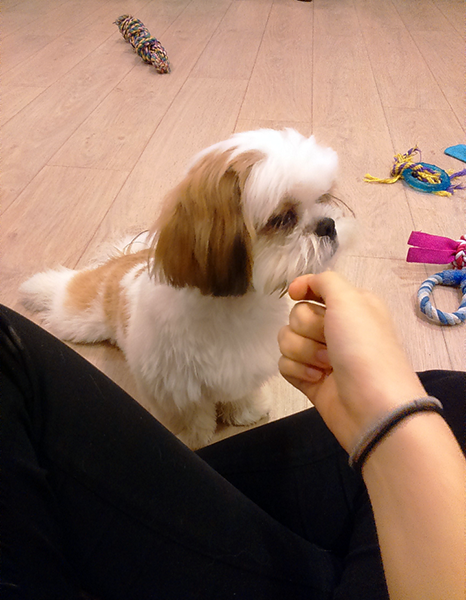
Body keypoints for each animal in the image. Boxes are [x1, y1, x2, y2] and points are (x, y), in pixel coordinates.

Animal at [20, 128, 354, 449]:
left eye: (324, 197)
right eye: (282, 219)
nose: (327, 224)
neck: (234, 310)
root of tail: (123, 259)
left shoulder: (243, 369)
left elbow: (239, 394)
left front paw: (246, 413)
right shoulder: (173, 386)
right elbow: (189, 415)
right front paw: (192, 439)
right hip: (81, 316)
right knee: (65, 291)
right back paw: (37, 287)